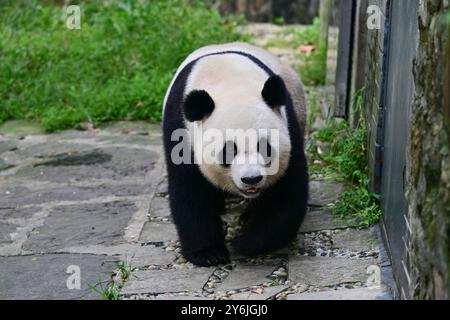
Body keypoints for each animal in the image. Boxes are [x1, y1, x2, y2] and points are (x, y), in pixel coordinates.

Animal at [163, 42, 310, 268]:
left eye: (265, 148)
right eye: (228, 152)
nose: (252, 179)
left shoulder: (288, 125)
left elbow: (286, 192)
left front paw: (245, 243)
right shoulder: (181, 130)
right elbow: (190, 193)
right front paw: (209, 254)